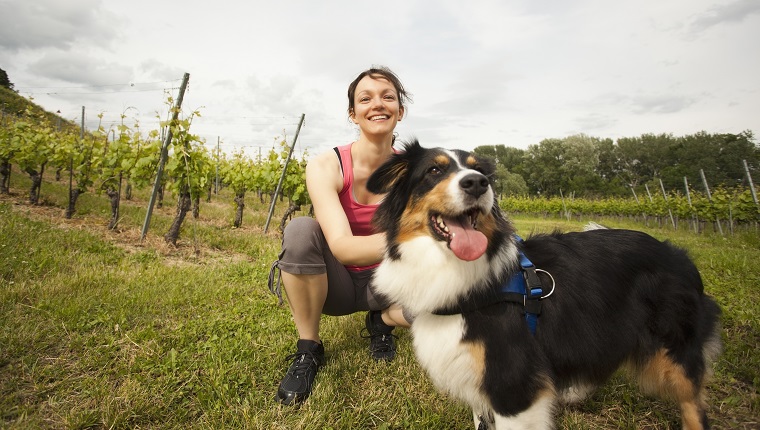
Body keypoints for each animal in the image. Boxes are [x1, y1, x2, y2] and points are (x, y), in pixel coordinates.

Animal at [366, 141, 720, 430]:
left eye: (479, 171)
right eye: (434, 170)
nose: (477, 183)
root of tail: (676, 253)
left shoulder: (514, 385)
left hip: (675, 348)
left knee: (694, 407)